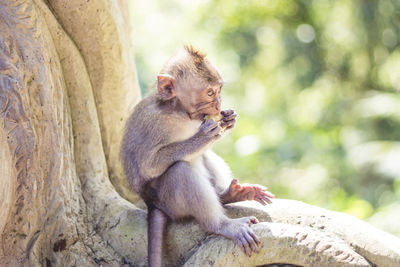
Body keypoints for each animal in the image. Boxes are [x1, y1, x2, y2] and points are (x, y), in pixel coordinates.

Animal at [119, 46, 276, 267]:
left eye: (218, 91)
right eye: (209, 93)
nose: (218, 106)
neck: (176, 110)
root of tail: (151, 204)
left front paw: (228, 119)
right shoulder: (154, 125)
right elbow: (148, 165)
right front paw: (203, 136)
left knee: (204, 157)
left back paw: (230, 194)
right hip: (170, 202)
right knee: (181, 171)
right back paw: (222, 225)